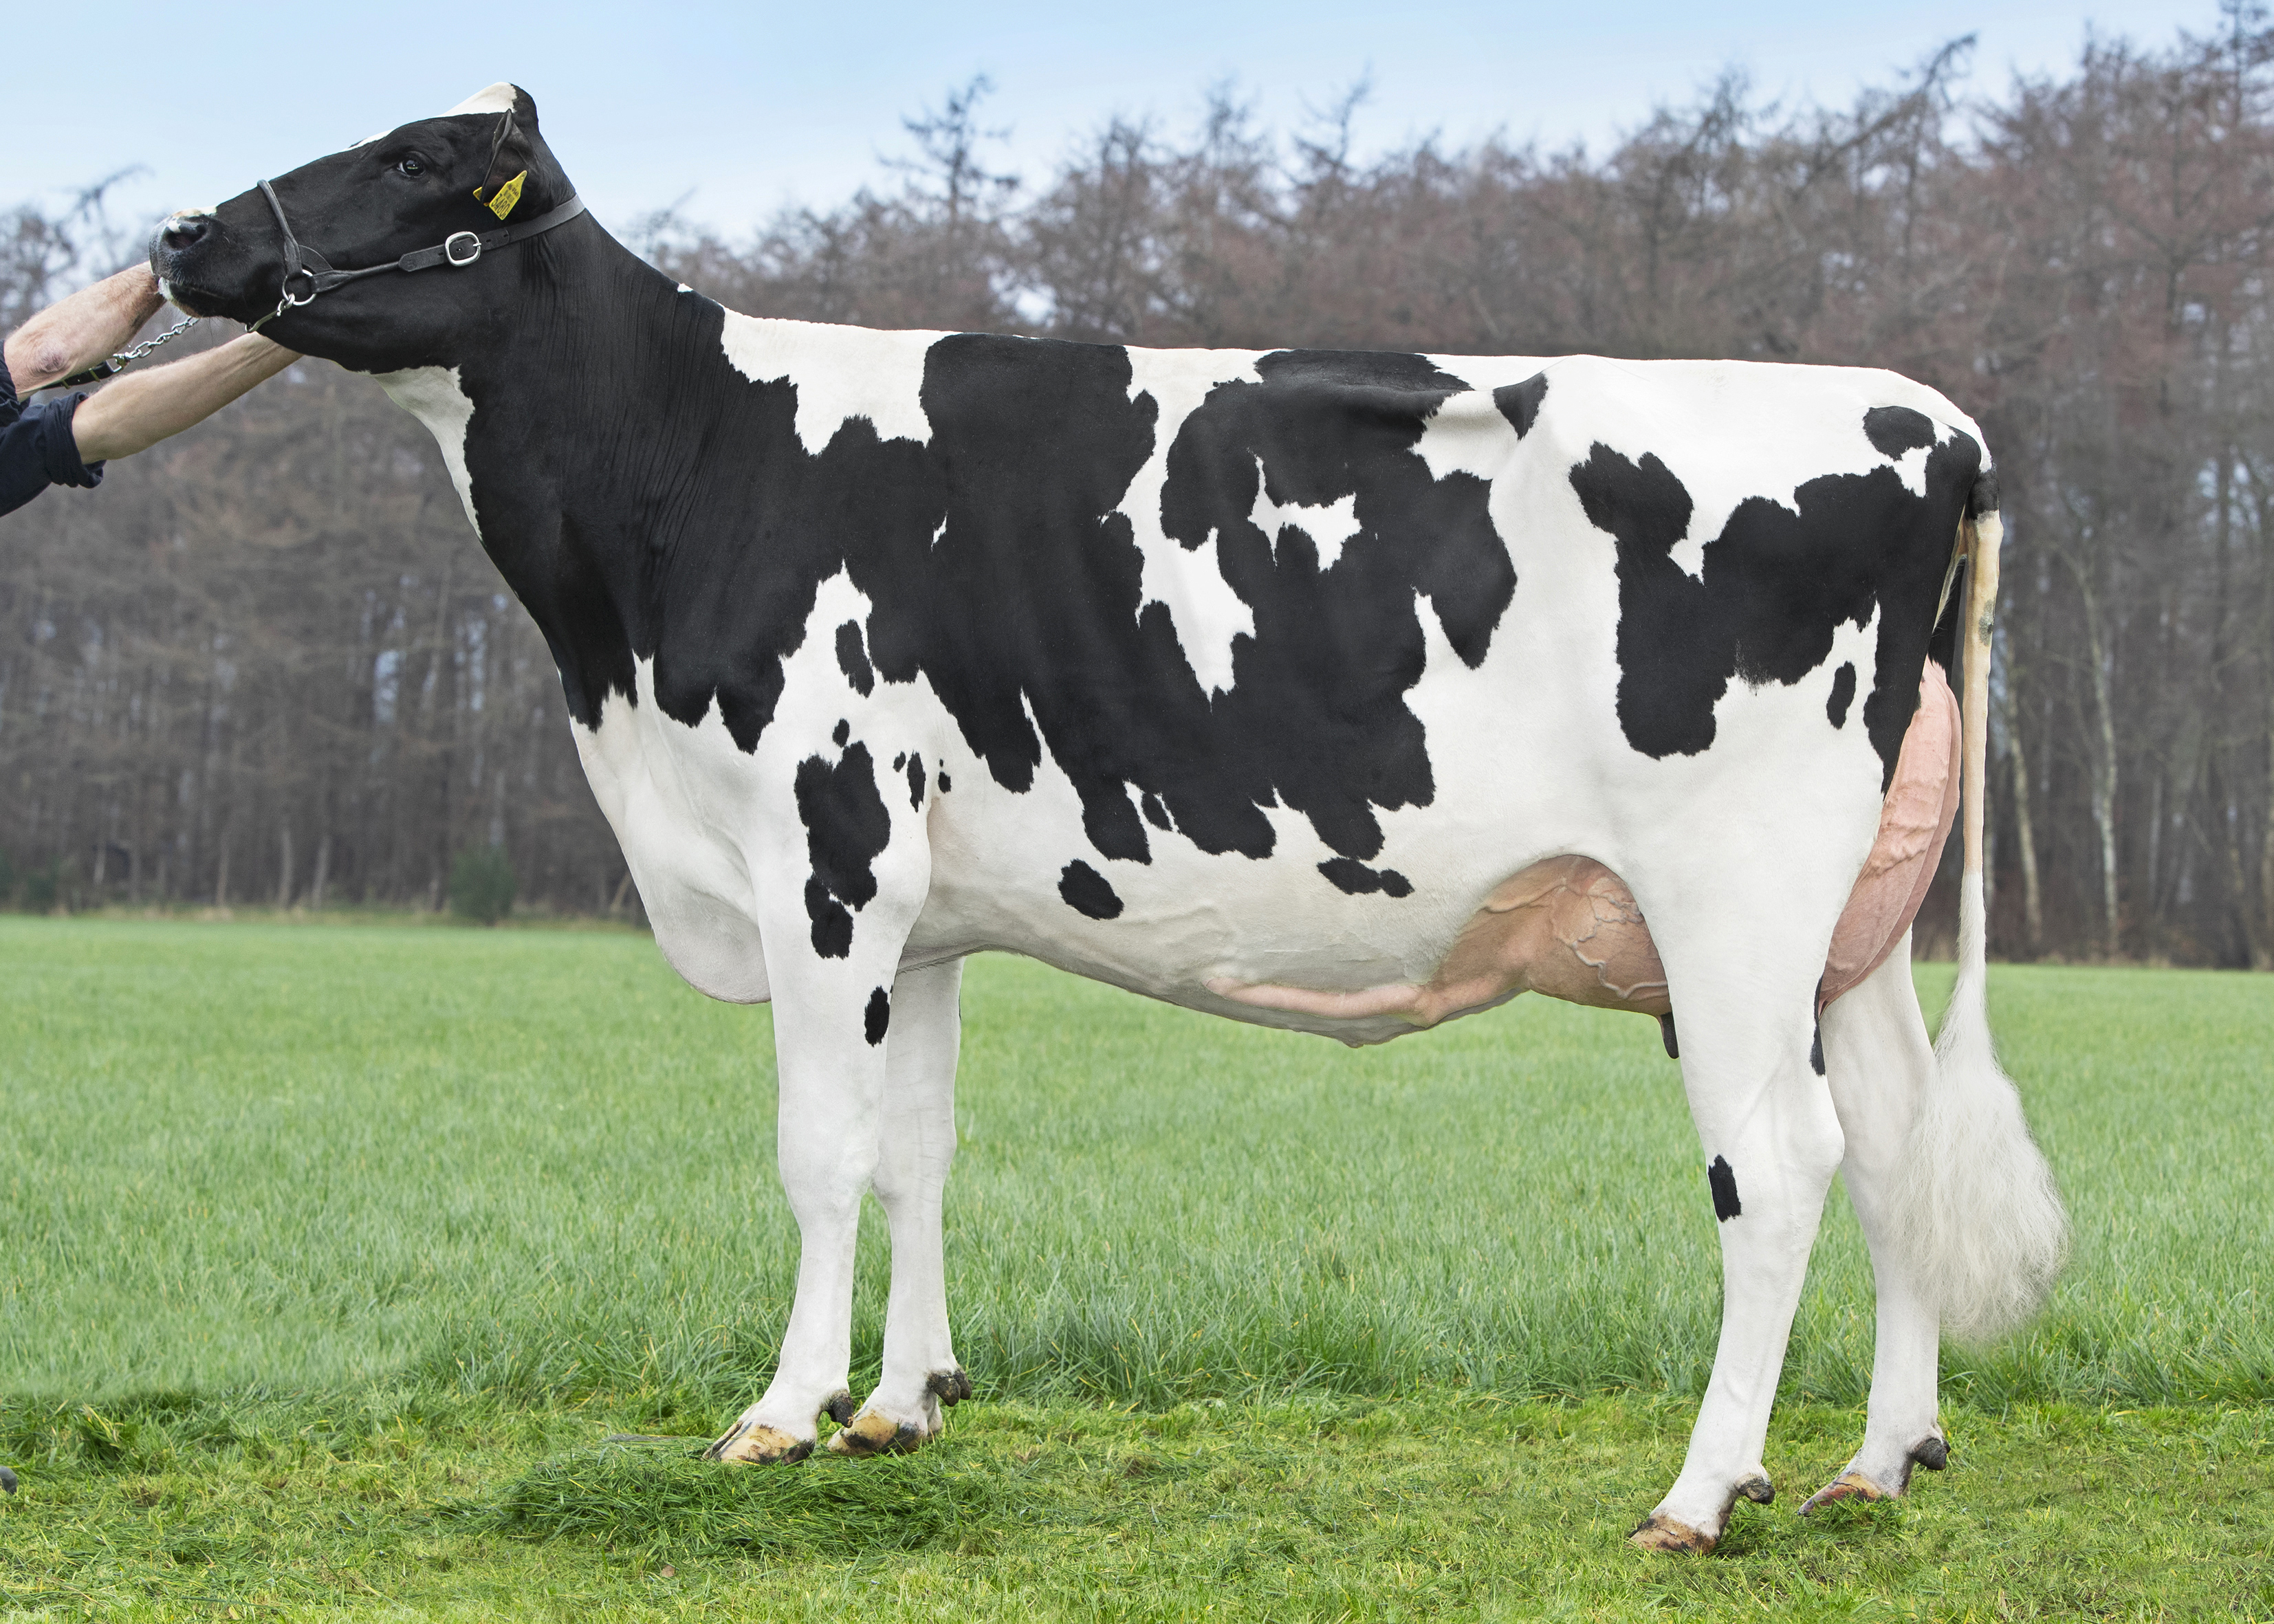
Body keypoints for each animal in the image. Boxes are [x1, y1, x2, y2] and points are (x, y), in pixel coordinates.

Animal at [152, 84, 2069, 1553]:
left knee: (1784, 1163)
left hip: (1734, 898)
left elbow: (817, 1149)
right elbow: (916, 1147)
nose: (181, 233)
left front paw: (781, 1409)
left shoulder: (825, 855)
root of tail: (1926, 417)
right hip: (1853, 927)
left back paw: (1699, 1491)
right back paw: (1871, 1462)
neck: (684, 485)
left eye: (414, 158)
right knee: (1894, 1143)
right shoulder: (922, 910)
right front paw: (901, 1402)